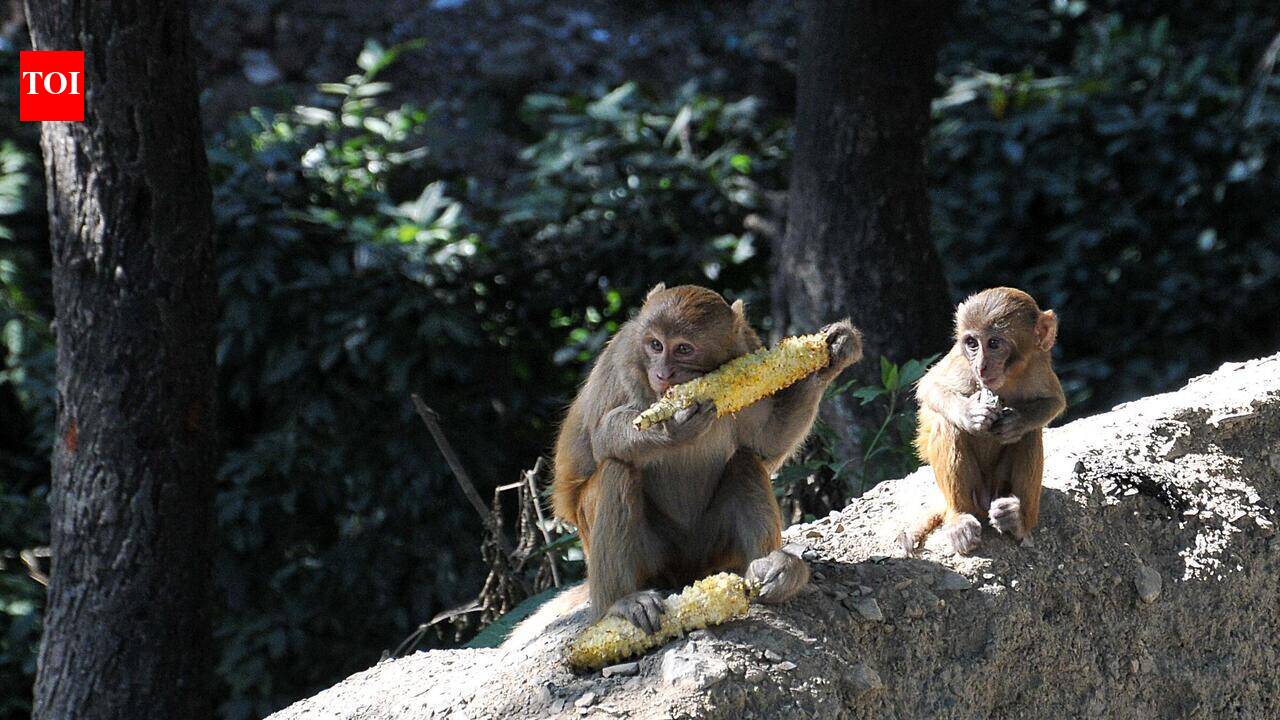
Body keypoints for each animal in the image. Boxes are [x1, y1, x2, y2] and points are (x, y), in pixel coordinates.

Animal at [548, 284, 862, 634]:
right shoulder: (622, 360)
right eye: (655, 345)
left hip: (716, 554)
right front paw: (669, 429)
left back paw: (774, 569)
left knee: (744, 463)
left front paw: (832, 354)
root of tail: (685, 573)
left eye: (684, 349)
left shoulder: (747, 350)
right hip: (648, 557)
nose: (662, 373)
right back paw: (620, 603)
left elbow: (766, 442)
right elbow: (600, 439)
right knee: (617, 468)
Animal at [902, 287, 1065, 556]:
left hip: (999, 484)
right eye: (972, 343)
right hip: (973, 493)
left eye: (994, 343)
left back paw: (1017, 520)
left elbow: (1054, 402)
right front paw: (970, 414)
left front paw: (1016, 422)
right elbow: (931, 387)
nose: (981, 366)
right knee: (948, 425)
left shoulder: (1038, 362)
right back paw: (959, 517)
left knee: (1031, 434)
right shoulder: (962, 362)